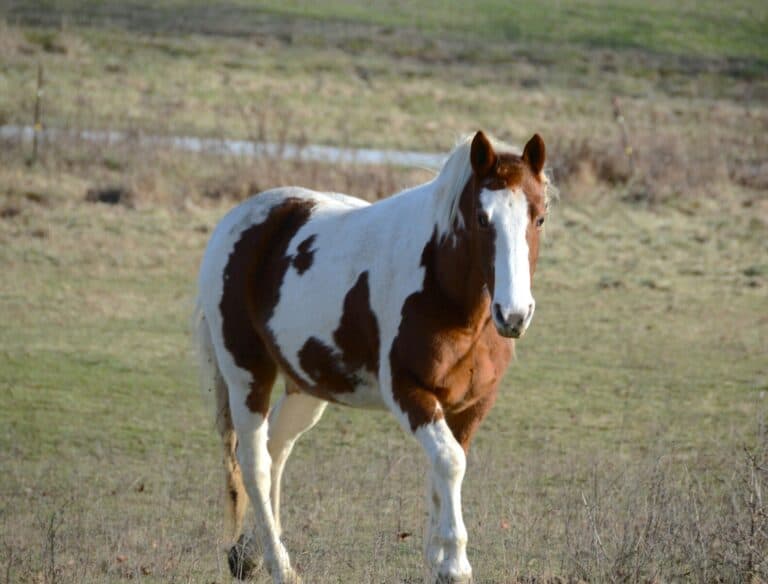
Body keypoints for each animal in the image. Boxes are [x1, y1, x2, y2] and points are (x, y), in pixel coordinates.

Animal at [194, 130, 552, 583]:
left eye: (539, 217)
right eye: (482, 218)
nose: (514, 314)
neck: (443, 290)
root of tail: (236, 222)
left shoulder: (472, 404)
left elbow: (444, 468)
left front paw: (437, 559)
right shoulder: (410, 393)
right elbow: (450, 462)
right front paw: (455, 562)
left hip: (305, 386)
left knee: (277, 448)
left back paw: (249, 554)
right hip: (246, 373)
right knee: (254, 462)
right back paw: (280, 565)